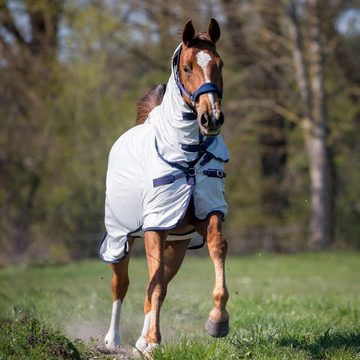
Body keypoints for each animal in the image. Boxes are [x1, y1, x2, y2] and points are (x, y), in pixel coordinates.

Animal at [100, 18, 231, 356]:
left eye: (220, 64)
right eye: (187, 67)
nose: (211, 118)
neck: (186, 155)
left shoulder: (206, 214)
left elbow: (216, 247)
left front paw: (218, 321)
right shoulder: (155, 227)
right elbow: (153, 285)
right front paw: (154, 342)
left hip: (177, 245)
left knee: (155, 285)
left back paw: (141, 340)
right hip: (121, 238)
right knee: (123, 285)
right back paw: (113, 339)